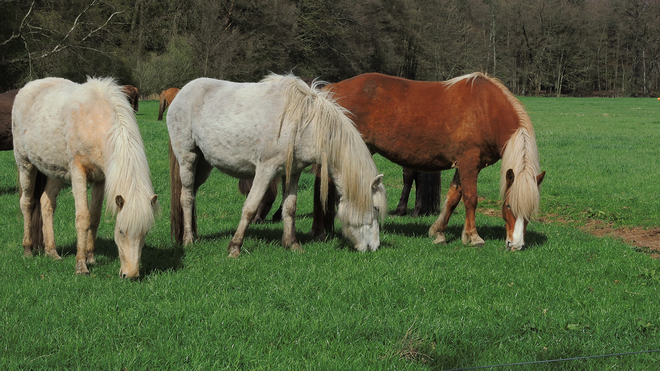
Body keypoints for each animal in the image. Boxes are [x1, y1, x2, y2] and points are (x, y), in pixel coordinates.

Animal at [12, 77, 160, 278]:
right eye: (121, 231)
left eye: (145, 233)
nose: (130, 275)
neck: (96, 122)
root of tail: (27, 87)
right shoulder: (78, 173)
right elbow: (83, 218)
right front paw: (81, 265)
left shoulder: (101, 179)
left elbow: (94, 217)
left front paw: (90, 257)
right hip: (25, 164)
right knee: (27, 203)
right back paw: (27, 249)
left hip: (55, 172)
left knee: (46, 204)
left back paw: (52, 252)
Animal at [168, 74, 390, 258]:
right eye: (375, 208)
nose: (373, 247)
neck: (303, 124)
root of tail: (181, 94)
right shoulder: (266, 170)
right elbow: (250, 208)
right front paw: (235, 247)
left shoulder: (293, 173)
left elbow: (289, 208)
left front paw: (291, 244)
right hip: (188, 158)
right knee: (186, 197)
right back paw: (188, 240)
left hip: (204, 166)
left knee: (193, 194)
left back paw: (193, 234)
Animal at [314, 72, 548, 251]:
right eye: (508, 205)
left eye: (530, 211)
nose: (515, 245)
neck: (486, 110)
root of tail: (331, 89)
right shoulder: (469, 162)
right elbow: (470, 198)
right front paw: (473, 236)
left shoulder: (463, 164)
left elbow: (454, 197)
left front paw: (439, 232)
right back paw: (320, 232)